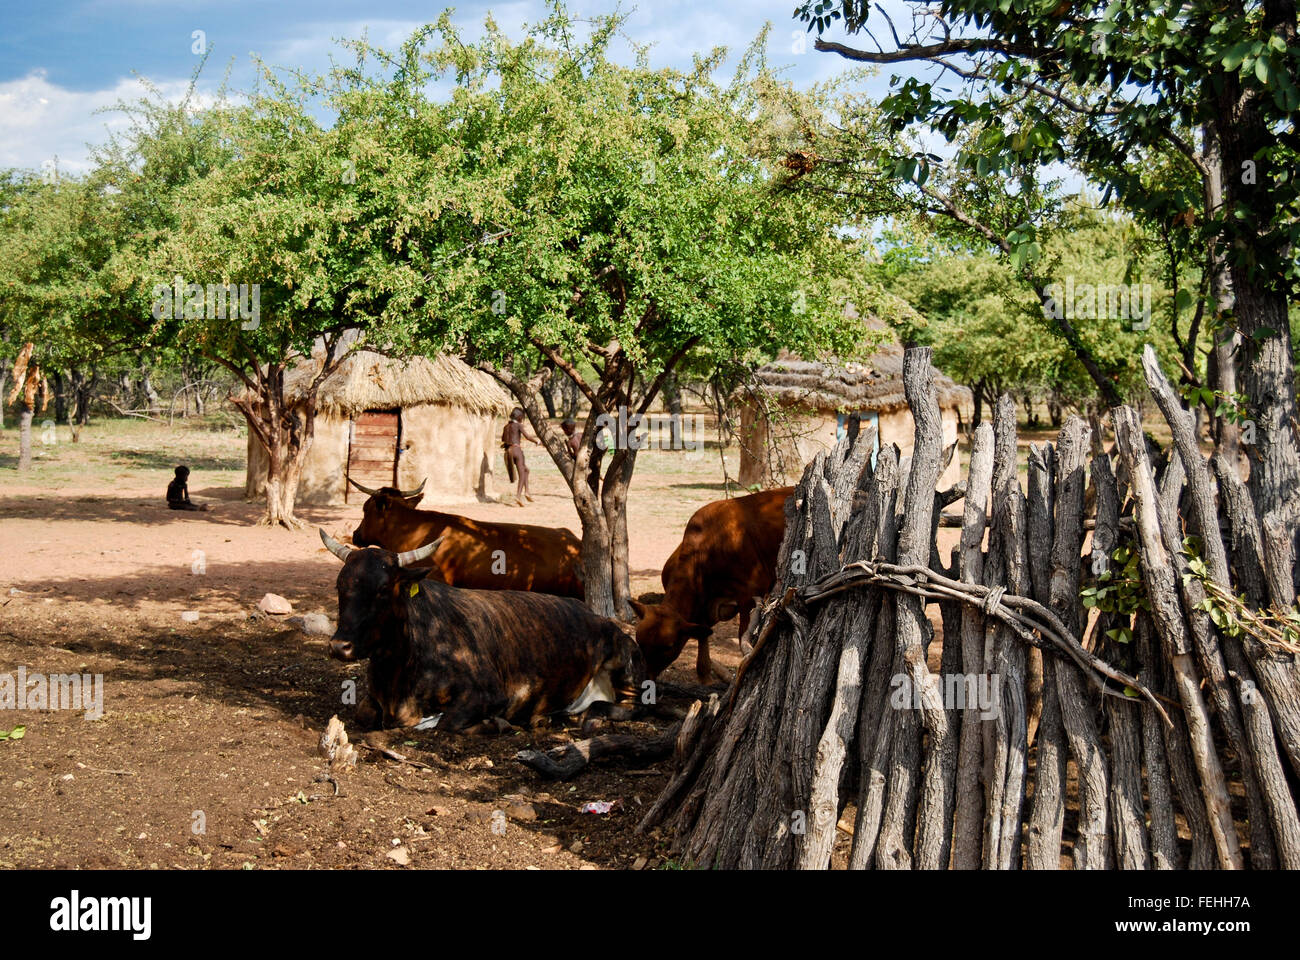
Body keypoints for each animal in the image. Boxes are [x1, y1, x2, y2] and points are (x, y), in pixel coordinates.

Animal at [315, 528, 639, 728]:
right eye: (340, 585)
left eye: (383, 589)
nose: (339, 646)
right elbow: (363, 713)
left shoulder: (489, 695)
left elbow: (446, 722)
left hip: (625, 667)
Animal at [629, 486, 790, 681]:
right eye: (639, 641)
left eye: (668, 646)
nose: (644, 678)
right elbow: (703, 636)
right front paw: (705, 674)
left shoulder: (750, 595)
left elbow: (744, 637)